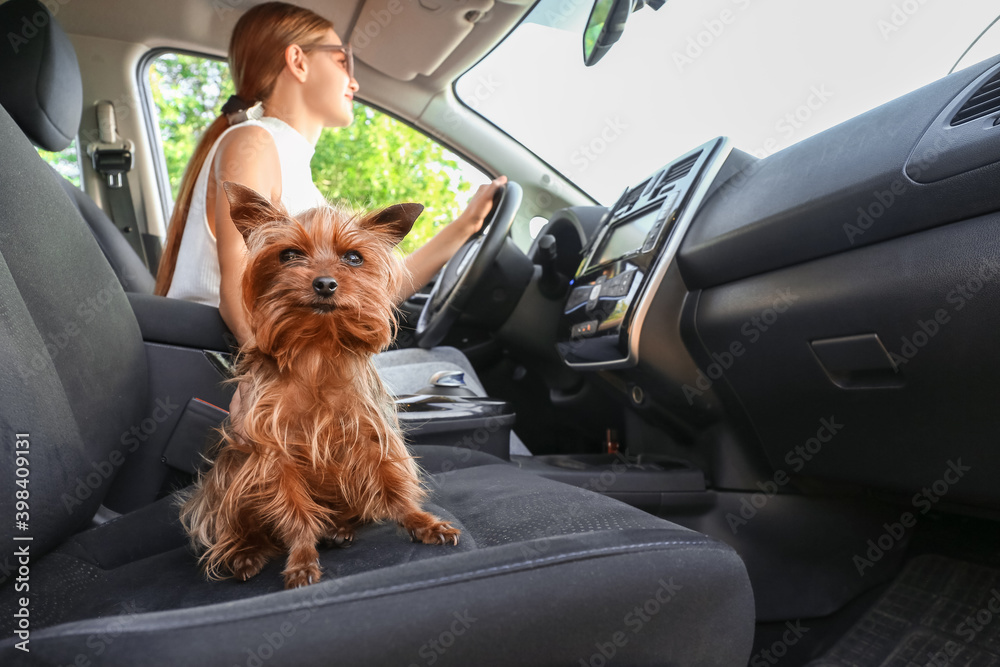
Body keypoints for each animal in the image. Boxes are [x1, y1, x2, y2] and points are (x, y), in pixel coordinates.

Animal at [180, 183, 460, 588]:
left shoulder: (370, 433)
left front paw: (422, 523)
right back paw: (246, 550)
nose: (325, 283)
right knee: (240, 518)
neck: (317, 347)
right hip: (230, 471)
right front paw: (301, 558)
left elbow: (394, 486)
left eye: (354, 258)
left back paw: (339, 528)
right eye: (289, 255)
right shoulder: (273, 451)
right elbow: (294, 512)